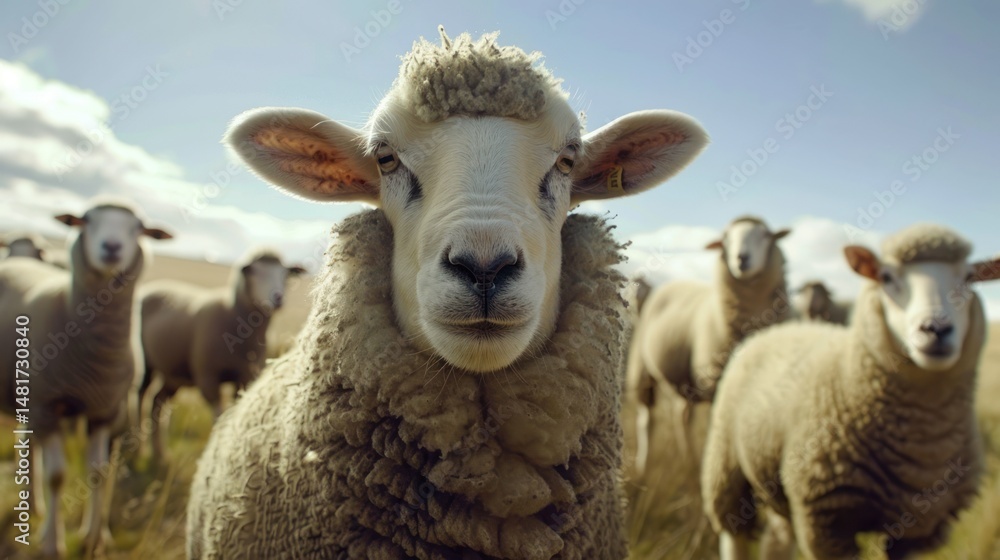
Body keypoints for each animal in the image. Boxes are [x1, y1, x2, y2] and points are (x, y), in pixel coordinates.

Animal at [0, 202, 172, 557]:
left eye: (138, 228)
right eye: (87, 221)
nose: (112, 247)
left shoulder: (105, 411)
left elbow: (98, 472)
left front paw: (95, 539)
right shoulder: (48, 405)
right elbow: (57, 476)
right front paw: (53, 543)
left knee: (28, 443)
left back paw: (33, 506)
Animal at [137, 249, 305, 463]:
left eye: (285, 274)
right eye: (255, 272)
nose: (278, 298)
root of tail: (152, 286)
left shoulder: (245, 378)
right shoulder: (207, 377)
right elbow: (220, 418)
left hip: (174, 375)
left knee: (157, 401)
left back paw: (160, 454)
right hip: (146, 364)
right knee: (142, 397)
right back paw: (140, 450)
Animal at [626, 216, 790, 477]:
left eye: (766, 235)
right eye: (726, 239)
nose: (742, 258)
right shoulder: (715, 385)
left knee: (681, 415)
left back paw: (688, 461)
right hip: (642, 368)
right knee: (646, 419)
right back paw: (644, 466)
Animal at [701, 223, 1000, 560]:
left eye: (970, 277)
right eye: (886, 277)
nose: (935, 329)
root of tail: (775, 329)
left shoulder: (919, 531)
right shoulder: (826, 522)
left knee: (777, 537)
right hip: (725, 464)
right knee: (733, 533)